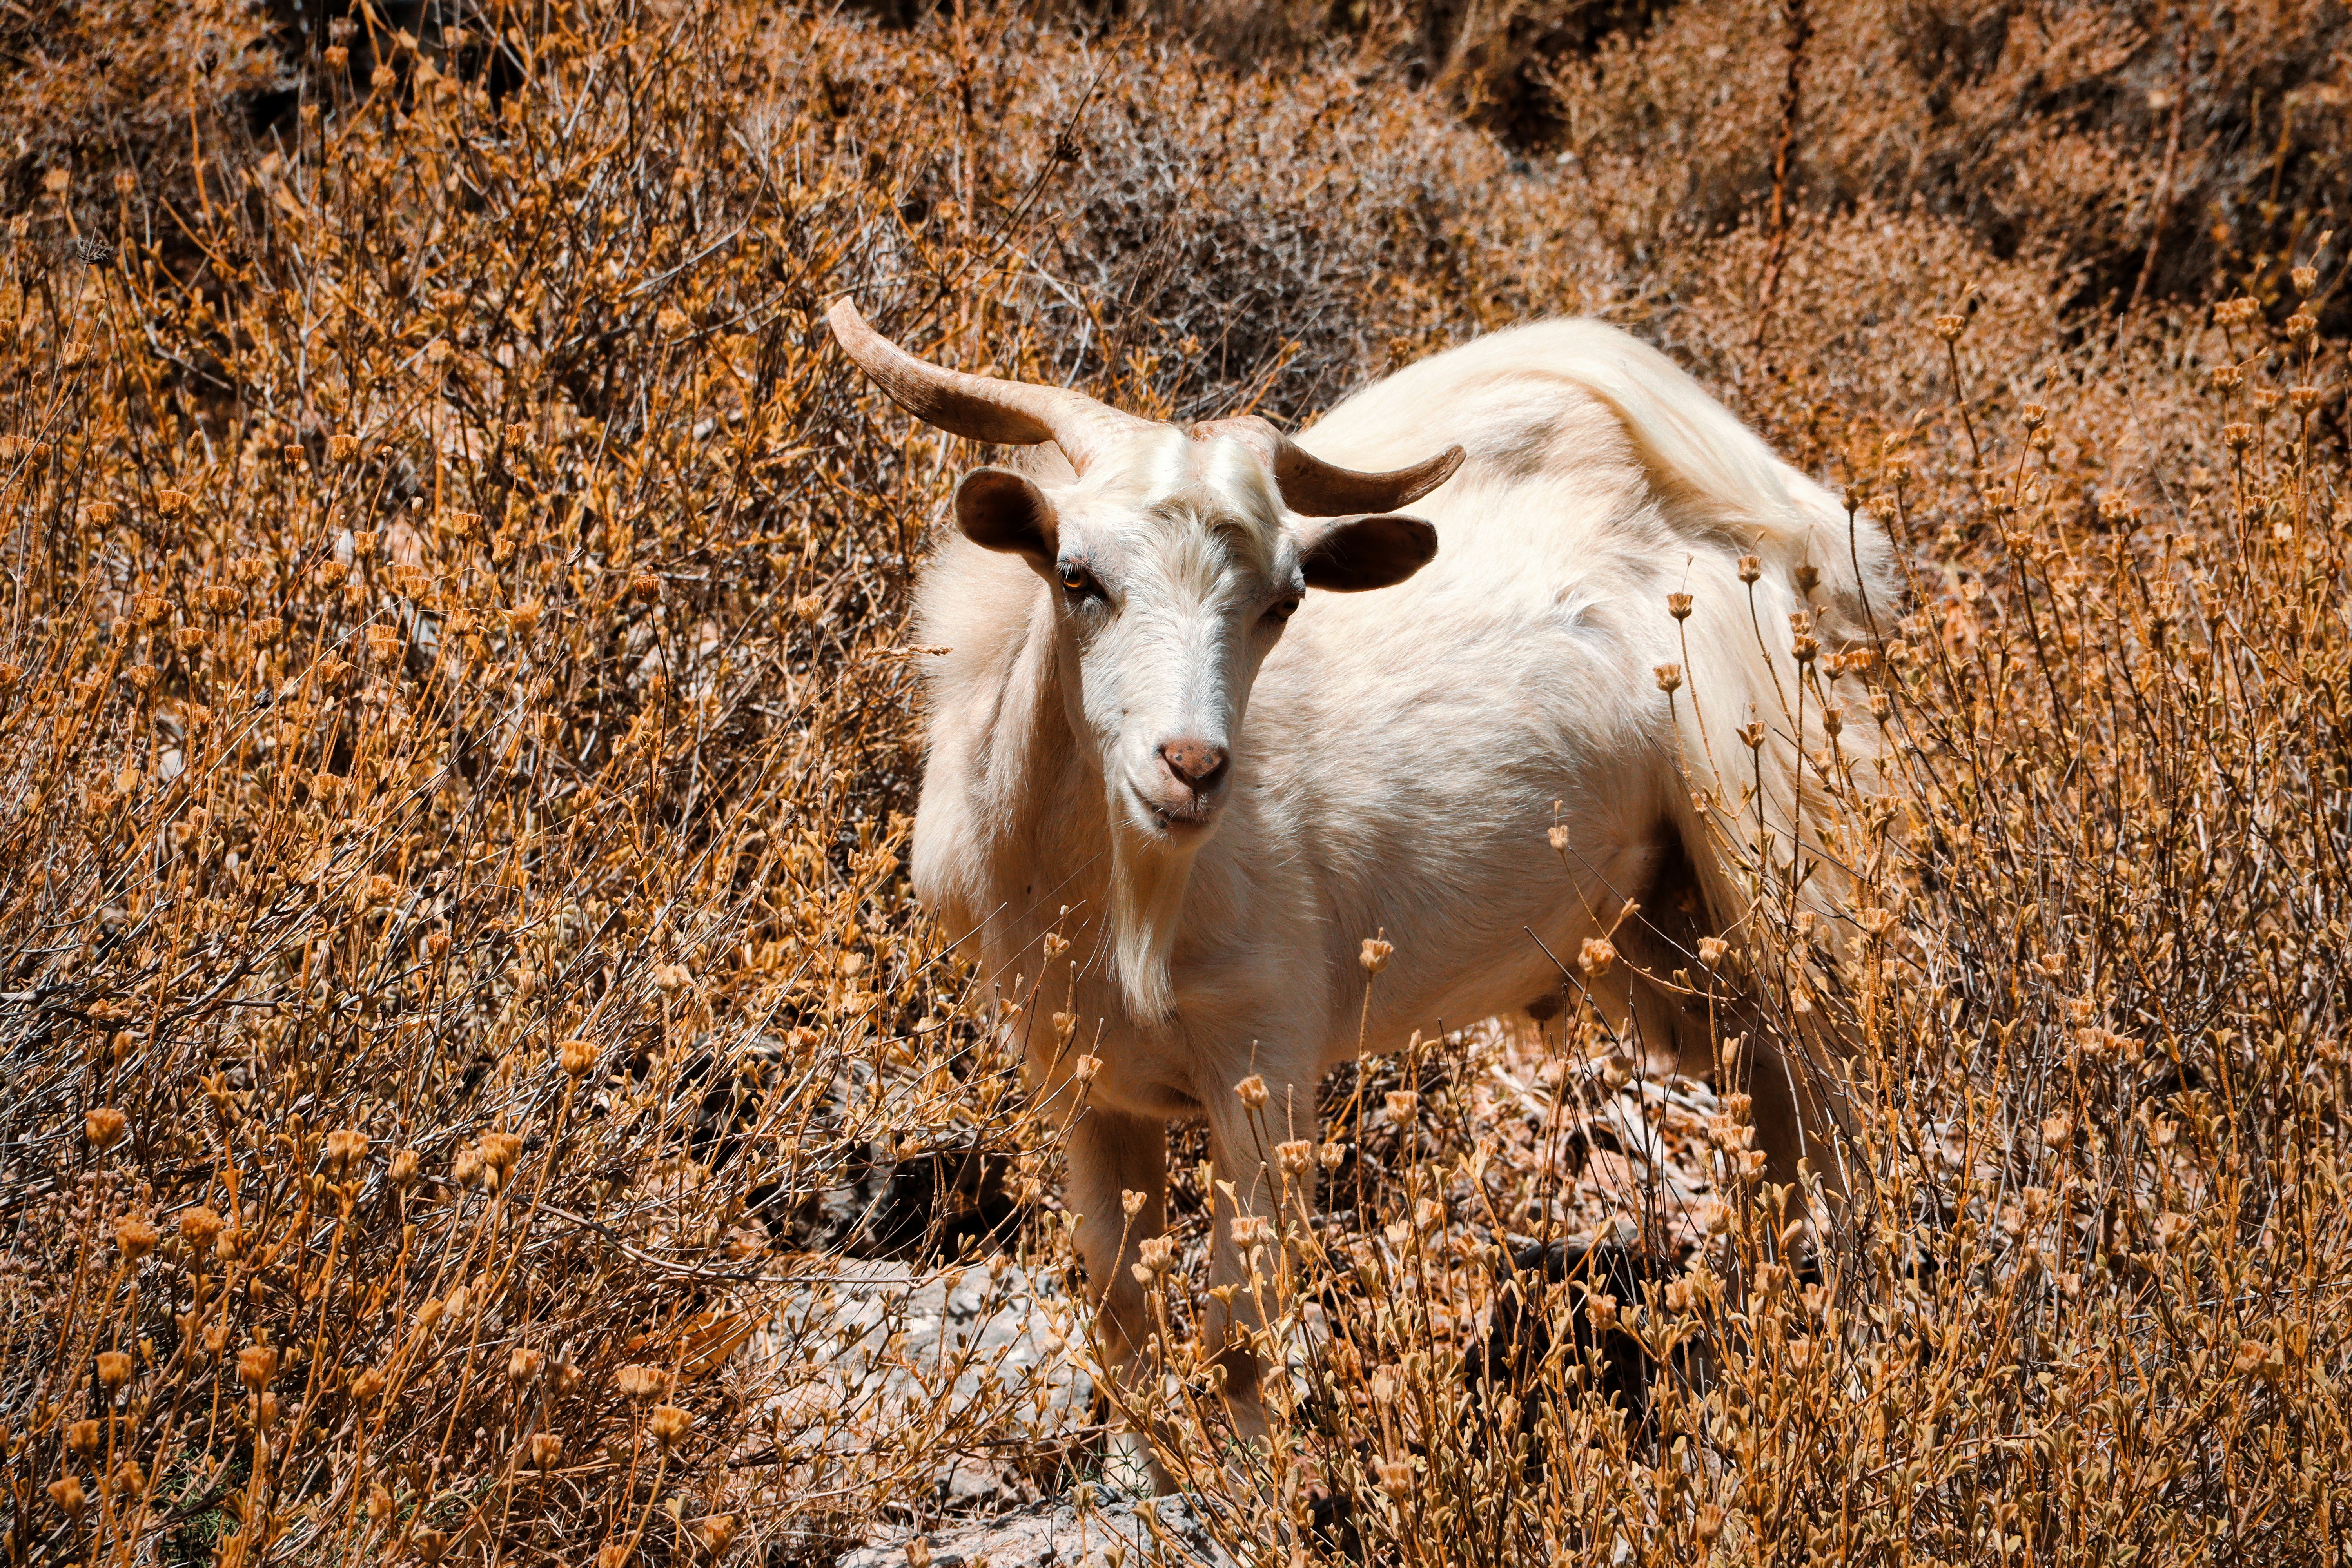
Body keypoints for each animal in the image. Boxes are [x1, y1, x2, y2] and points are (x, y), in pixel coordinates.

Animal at [830, 298, 1894, 1480]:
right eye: (1076, 575)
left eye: (1283, 601)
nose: (1191, 767)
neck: (1110, 891)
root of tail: (1770, 528)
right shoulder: (1082, 1078)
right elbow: (1119, 1294)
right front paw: (1144, 1470)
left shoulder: (1267, 1063)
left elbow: (1238, 1322)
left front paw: (1251, 1490)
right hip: (1668, 929)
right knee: (1771, 1117)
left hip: (1781, 861)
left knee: (1845, 1117)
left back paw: (1854, 1372)